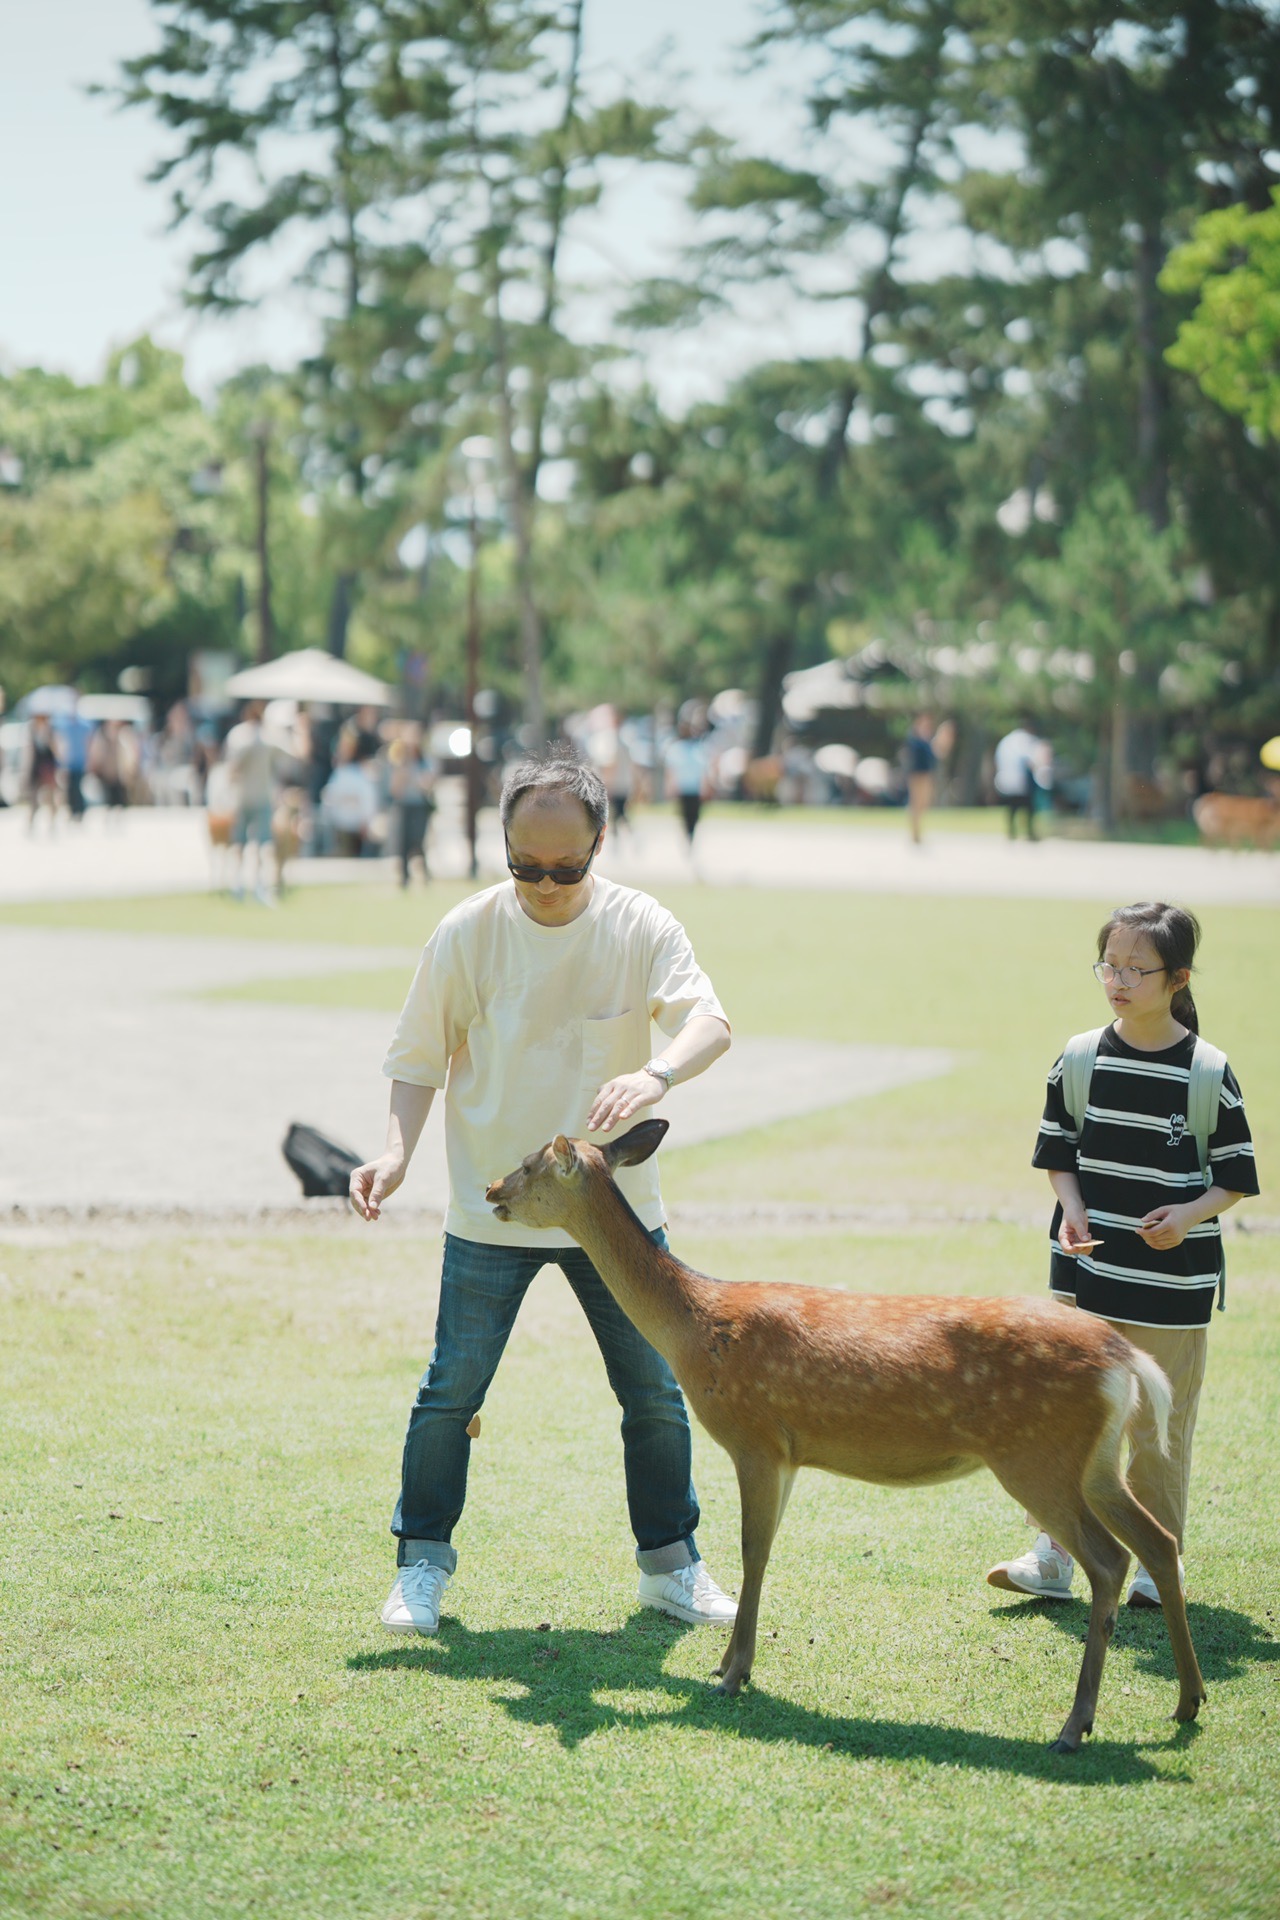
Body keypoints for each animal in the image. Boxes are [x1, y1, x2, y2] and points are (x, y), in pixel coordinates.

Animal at [483, 1113, 1212, 1758]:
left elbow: (752, 1552)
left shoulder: (755, 1436)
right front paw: (730, 1665)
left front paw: (730, 1674)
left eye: (529, 1163)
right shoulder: (789, 1453)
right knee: (1158, 1539)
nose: (491, 1191)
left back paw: (1074, 1727)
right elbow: (764, 1552)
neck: (695, 1328)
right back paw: (1187, 1701)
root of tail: (1126, 1360)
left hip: (1037, 1455)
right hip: (1096, 1462)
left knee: (1110, 1561)